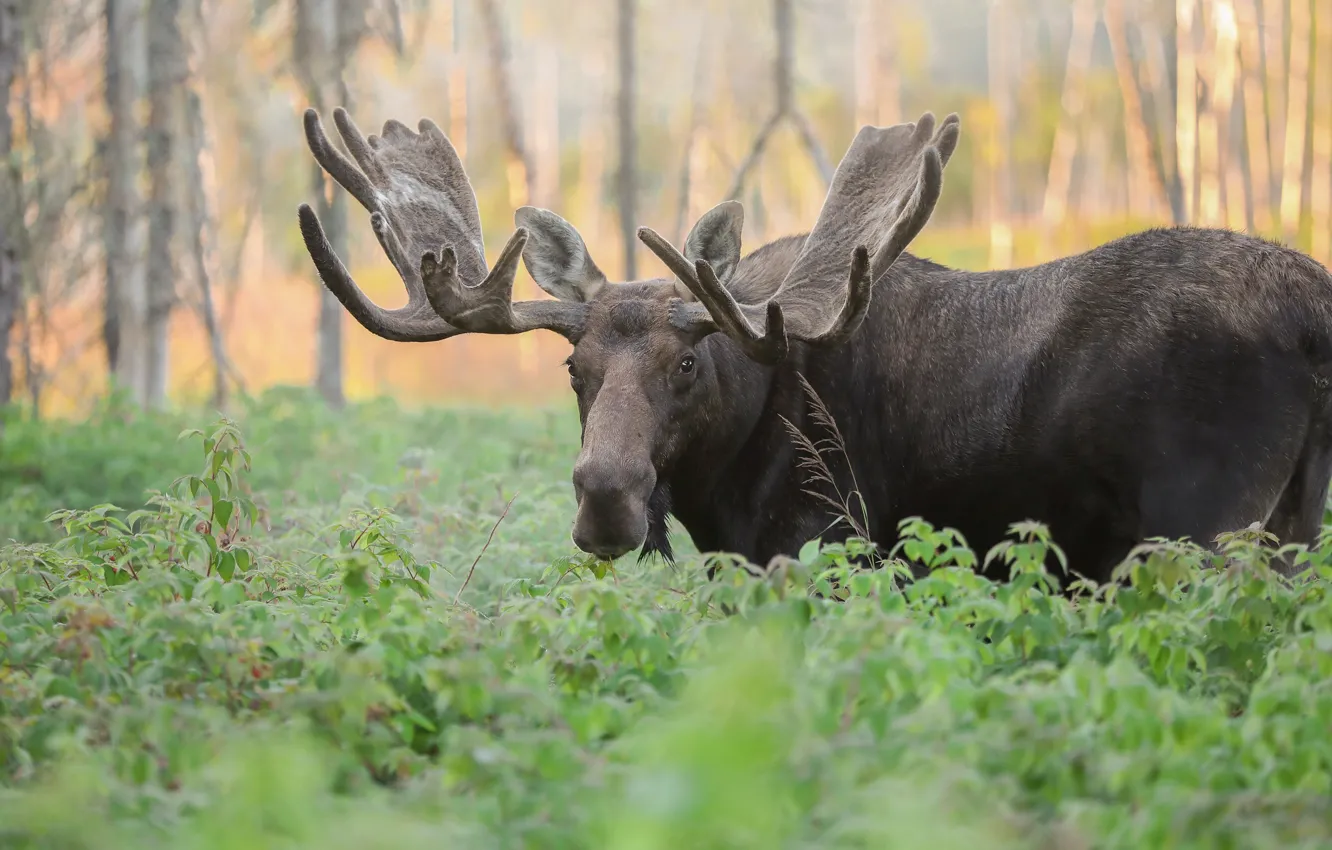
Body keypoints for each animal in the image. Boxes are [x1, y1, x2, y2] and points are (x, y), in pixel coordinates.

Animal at [296, 105, 1332, 587]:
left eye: (685, 364)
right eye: (572, 370)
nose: (605, 501)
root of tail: (1316, 311)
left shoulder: (819, 550)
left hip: (1207, 527)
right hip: (1291, 526)